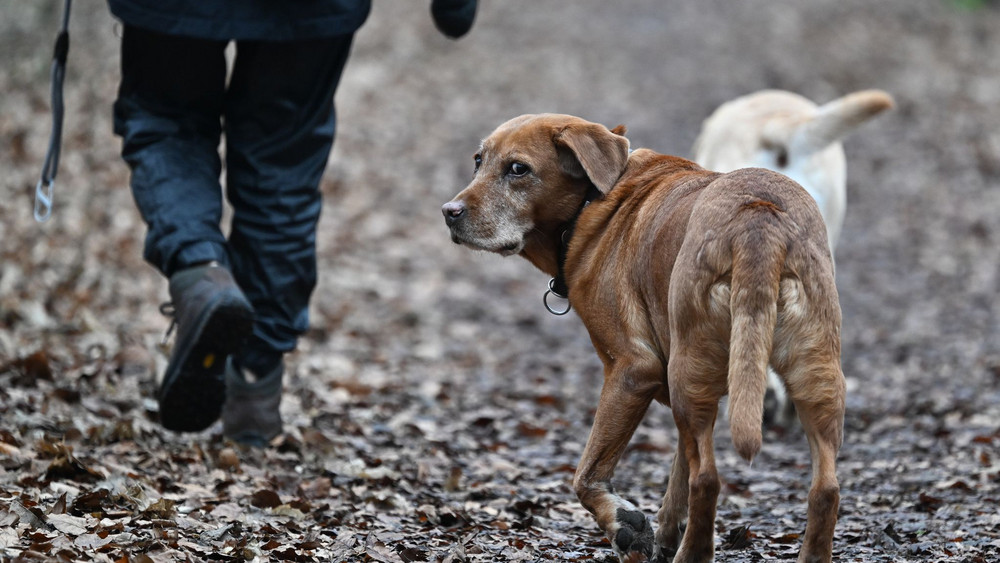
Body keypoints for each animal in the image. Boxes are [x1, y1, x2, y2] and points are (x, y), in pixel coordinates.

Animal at [444, 114, 844, 563]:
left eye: (518, 169)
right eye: (478, 161)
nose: (449, 212)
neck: (592, 204)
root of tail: (758, 221)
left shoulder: (632, 372)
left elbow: (587, 474)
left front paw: (626, 526)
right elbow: (678, 473)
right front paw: (665, 533)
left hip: (693, 378)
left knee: (708, 480)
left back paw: (691, 555)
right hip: (814, 378)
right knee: (825, 489)